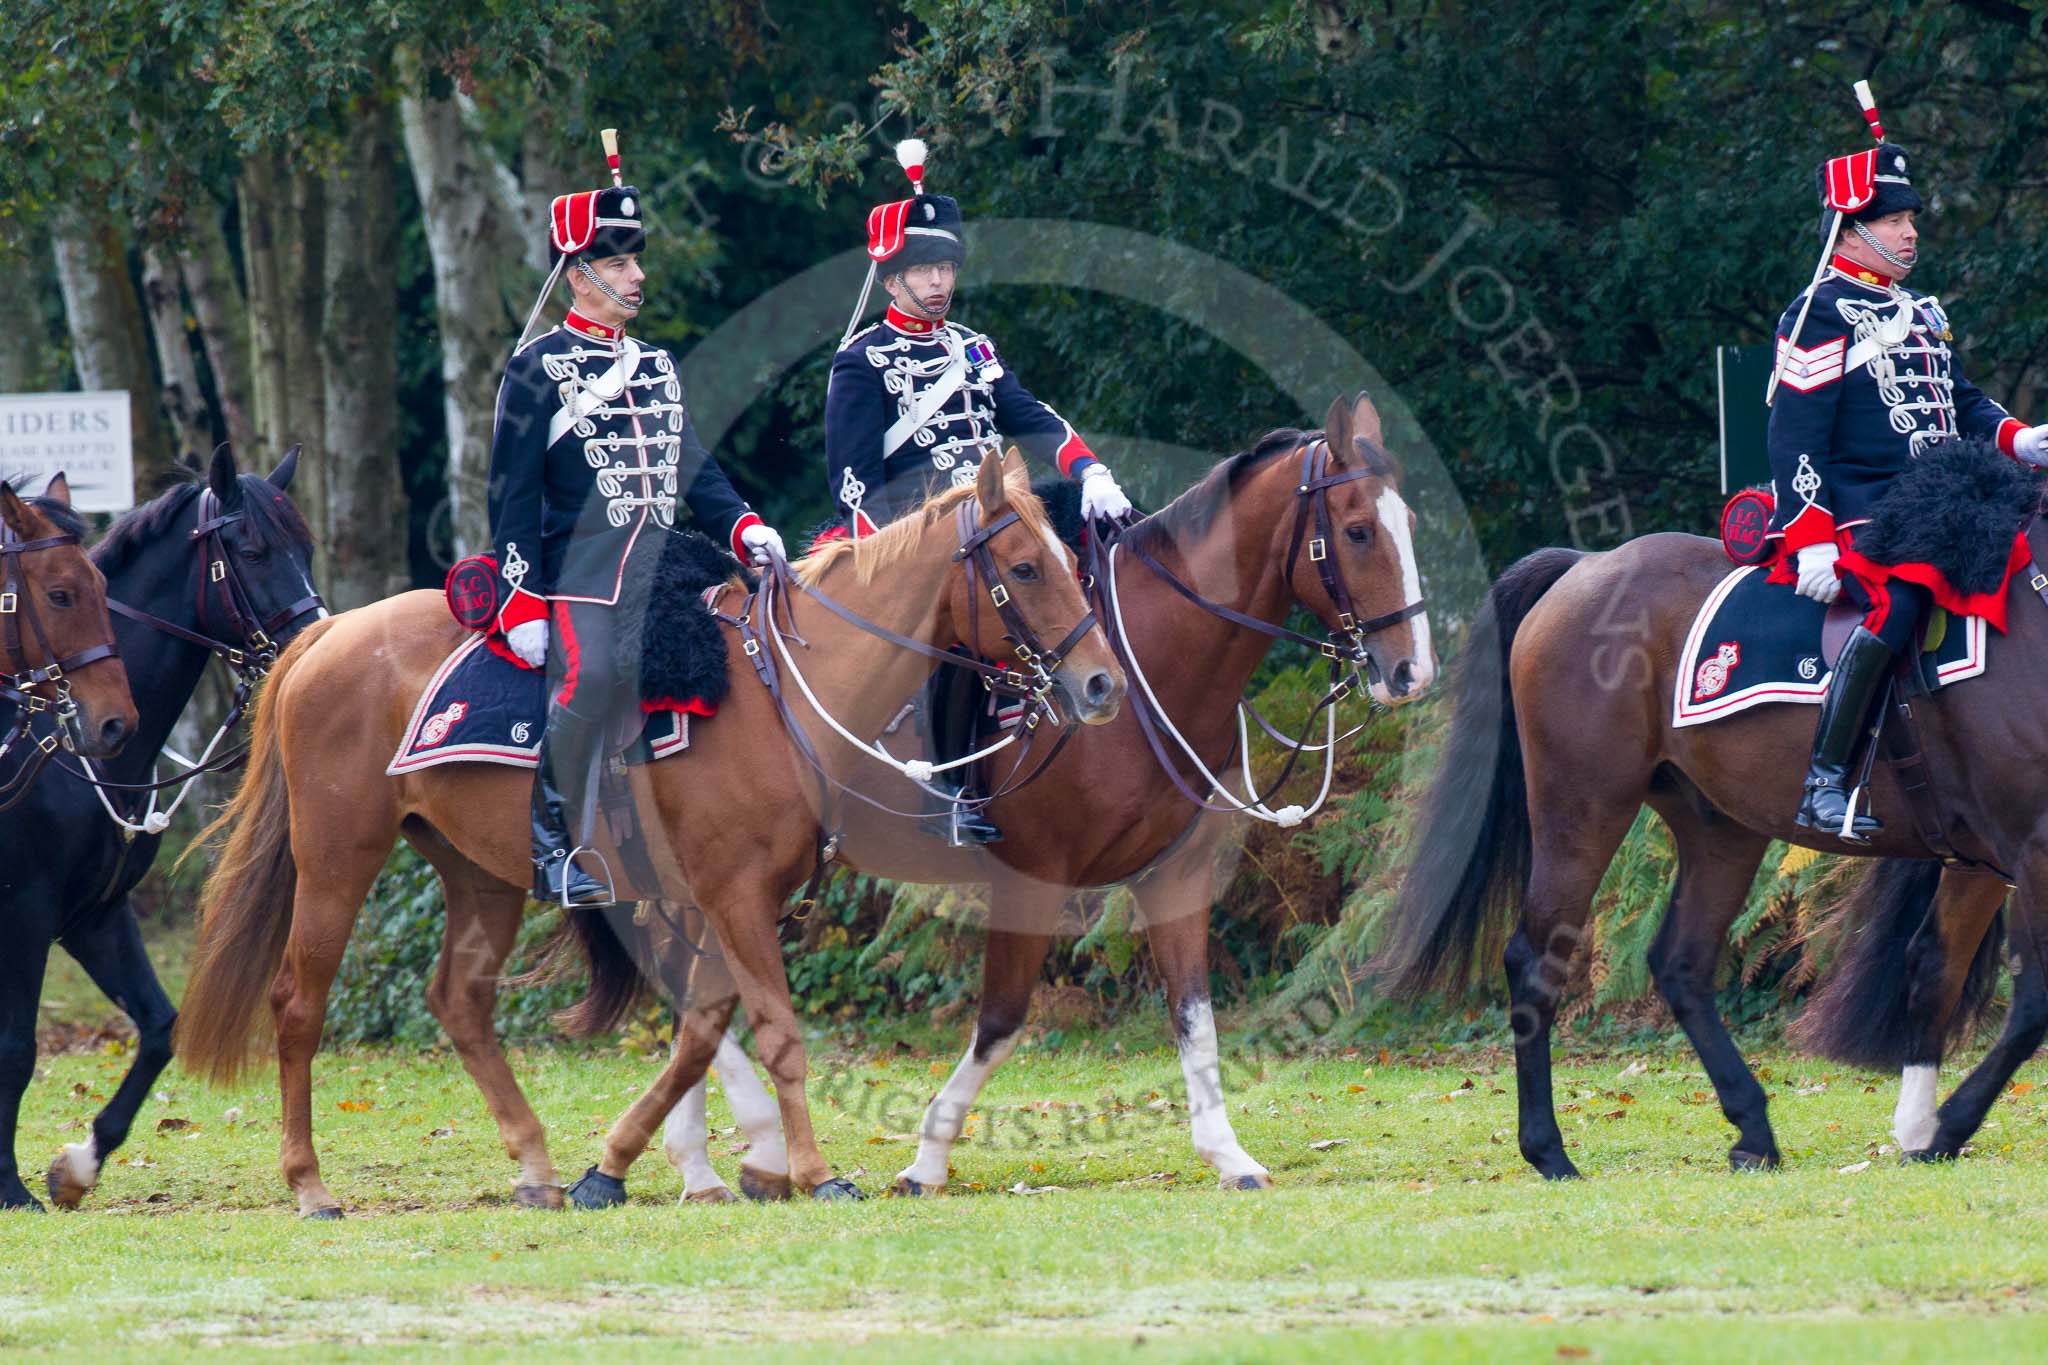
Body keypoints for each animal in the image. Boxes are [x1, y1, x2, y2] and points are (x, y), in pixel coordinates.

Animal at [23, 448, 323, 1203]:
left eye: (306, 548)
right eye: (252, 551)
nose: (314, 640)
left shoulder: (92, 914)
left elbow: (159, 1028)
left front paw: (81, 1161)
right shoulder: (28, 911)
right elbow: (17, 1045)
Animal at [172, 450, 1122, 1219]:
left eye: (1071, 560)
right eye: (1026, 566)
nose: (1101, 683)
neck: (780, 693)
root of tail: (330, 633)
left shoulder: (726, 899)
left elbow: (701, 1029)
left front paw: (623, 1164)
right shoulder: (733, 894)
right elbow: (774, 1031)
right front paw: (812, 1171)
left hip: (481, 872)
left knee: (460, 1000)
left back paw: (537, 1166)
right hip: (338, 857)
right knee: (299, 1002)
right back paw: (309, 1184)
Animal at [561, 388, 1425, 1203]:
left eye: (1407, 520)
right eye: (1356, 530)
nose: (1411, 670)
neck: (1149, 671)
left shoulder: (1173, 877)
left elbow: (1195, 1016)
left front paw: (1228, 1154)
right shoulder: (1031, 879)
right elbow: (1003, 1021)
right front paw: (927, 1158)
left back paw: (701, 1165)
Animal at [1368, 485, 2048, 1178]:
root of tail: (1587, 565)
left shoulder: (1984, 857)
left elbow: (1937, 968)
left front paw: (1920, 1128)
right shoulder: (2033, 847)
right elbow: (2032, 1004)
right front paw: (1947, 1128)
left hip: (1721, 830)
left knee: (1681, 962)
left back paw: (1753, 1129)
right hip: (1582, 807)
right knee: (1536, 961)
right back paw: (1549, 1149)